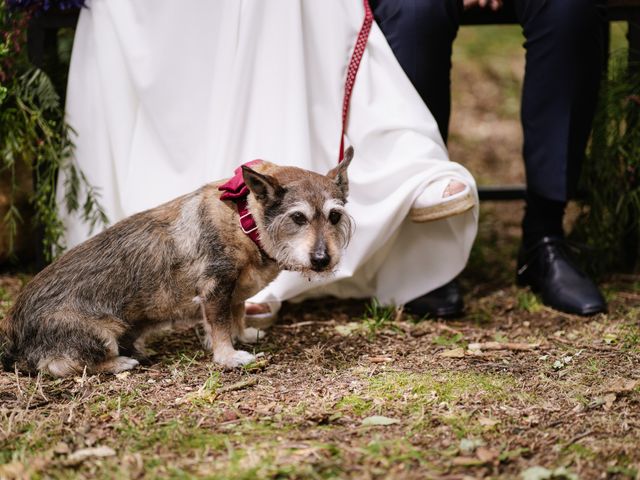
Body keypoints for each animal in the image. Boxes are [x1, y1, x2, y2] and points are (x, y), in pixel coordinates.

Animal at [1, 148, 356, 376]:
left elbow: (237, 315)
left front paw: (244, 335)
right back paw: (120, 363)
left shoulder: (234, 293)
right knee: (58, 365)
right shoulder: (216, 288)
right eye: (298, 218)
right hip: (100, 333)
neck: (244, 221)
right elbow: (221, 326)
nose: (322, 260)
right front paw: (229, 356)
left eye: (334, 216)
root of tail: (14, 334)